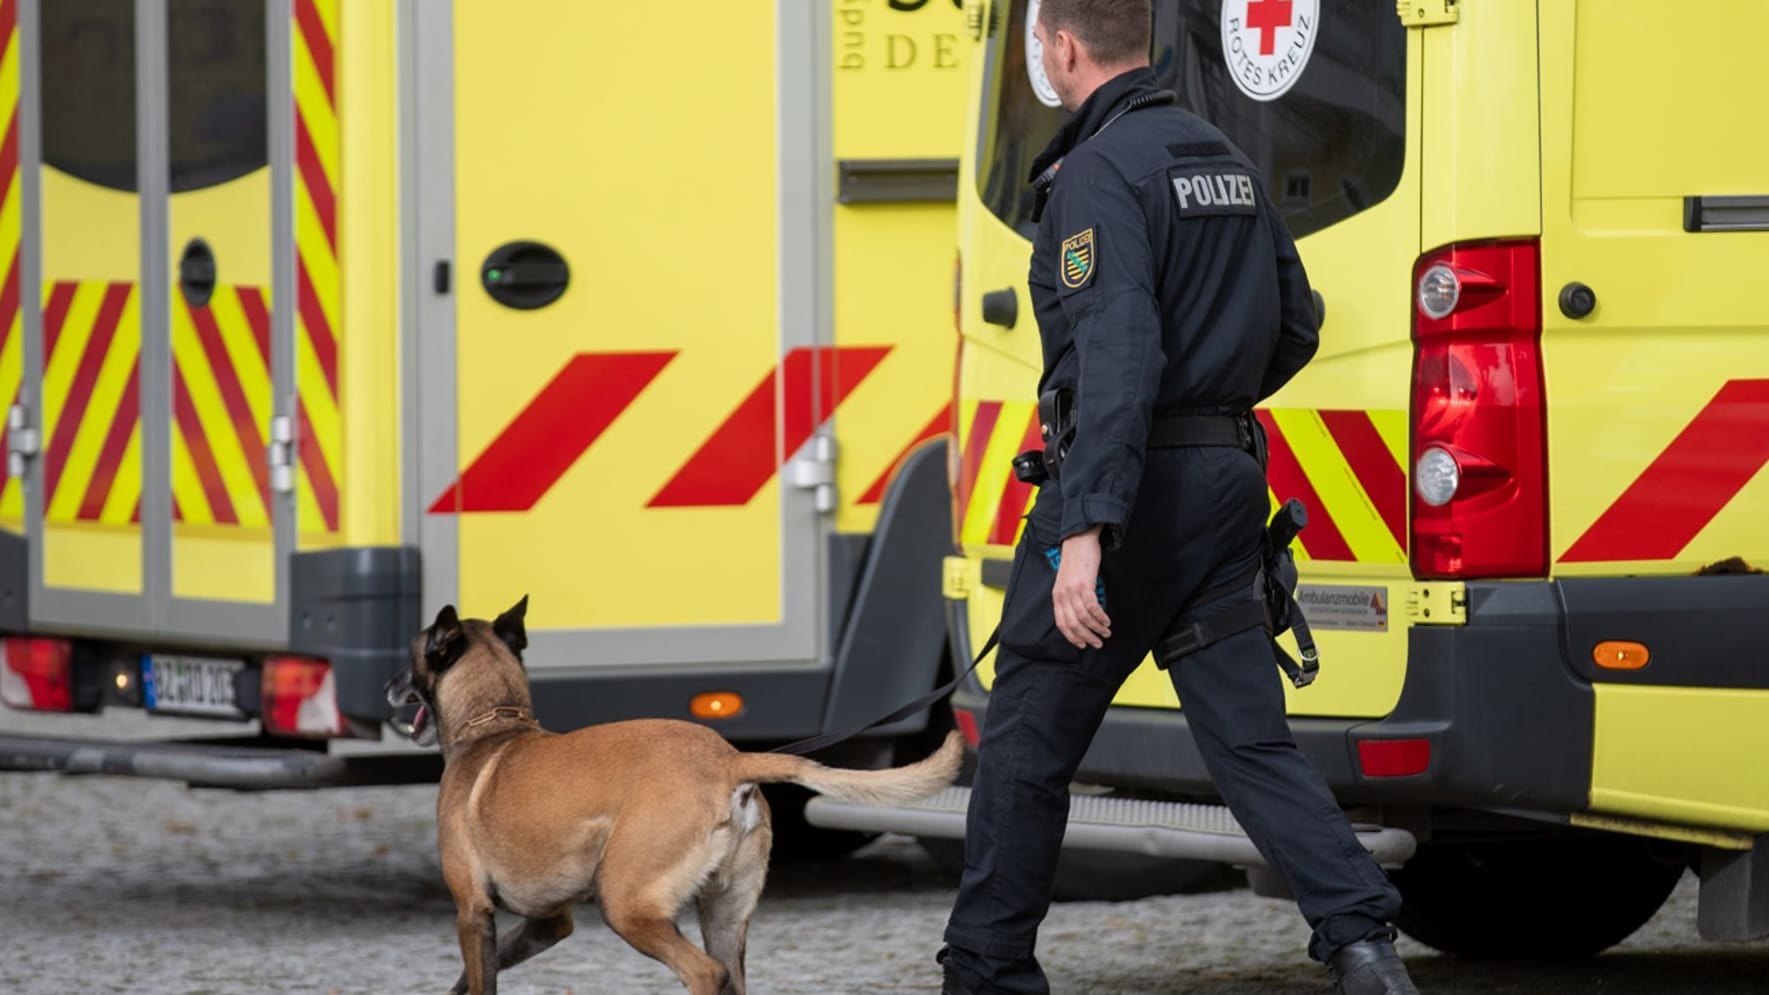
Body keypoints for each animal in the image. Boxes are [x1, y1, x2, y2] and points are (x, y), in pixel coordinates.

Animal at [389, 594, 969, 991]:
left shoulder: (473, 912)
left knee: (705, 973)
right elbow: (472, 978)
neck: (494, 725)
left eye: (412, 656)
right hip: (725, 918)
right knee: (729, 975)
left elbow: (479, 980)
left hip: (629, 906)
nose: (389, 687)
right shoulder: (546, 922)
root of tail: (728, 758)